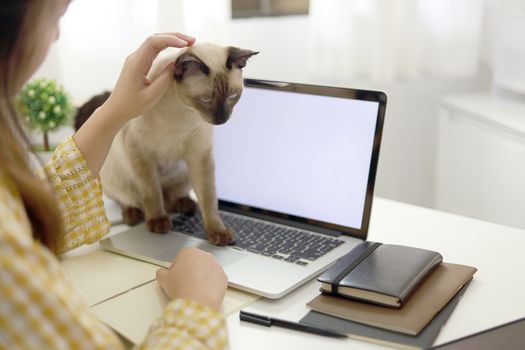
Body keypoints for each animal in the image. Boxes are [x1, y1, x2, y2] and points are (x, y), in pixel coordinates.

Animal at [77, 44, 256, 246]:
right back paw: (133, 215)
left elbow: (209, 199)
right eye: (205, 100)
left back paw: (186, 205)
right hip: (114, 176)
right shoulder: (140, 153)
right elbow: (152, 192)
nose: (222, 119)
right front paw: (158, 223)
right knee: (132, 200)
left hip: (185, 175)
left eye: (233, 96)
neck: (182, 111)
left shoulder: (200, 155)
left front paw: (218, 234)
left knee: (175, 199)